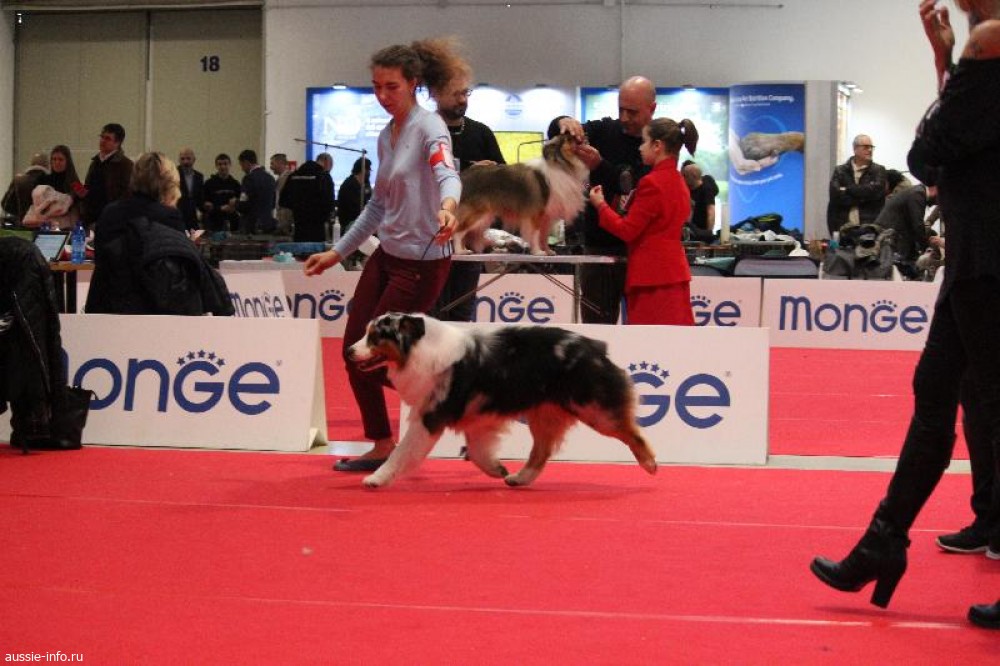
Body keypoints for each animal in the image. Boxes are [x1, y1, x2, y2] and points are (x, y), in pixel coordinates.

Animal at [345, 313, 658, 488]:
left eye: (375, 336)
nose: (348, 351)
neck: (420, 348)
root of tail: (595, 346)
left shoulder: (429, 417)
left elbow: (401, 452)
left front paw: (376, 478)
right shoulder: (476, 417)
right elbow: (476, 451)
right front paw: (496, 469)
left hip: (592, 407)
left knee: (631, 430)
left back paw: (650, 464)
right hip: (543, 413)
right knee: (541, 451)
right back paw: (519, 478)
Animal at [451, 133, 589, 256]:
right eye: (569, 138)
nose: (583, 135)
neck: (561, 165)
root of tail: (462, 176)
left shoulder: (547, 216)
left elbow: (544, 236)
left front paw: (548, 251)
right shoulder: (536, 213)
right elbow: (536, 234)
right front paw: (538, 252)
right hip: (477, 213)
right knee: (458, 232)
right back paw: (460, 251)